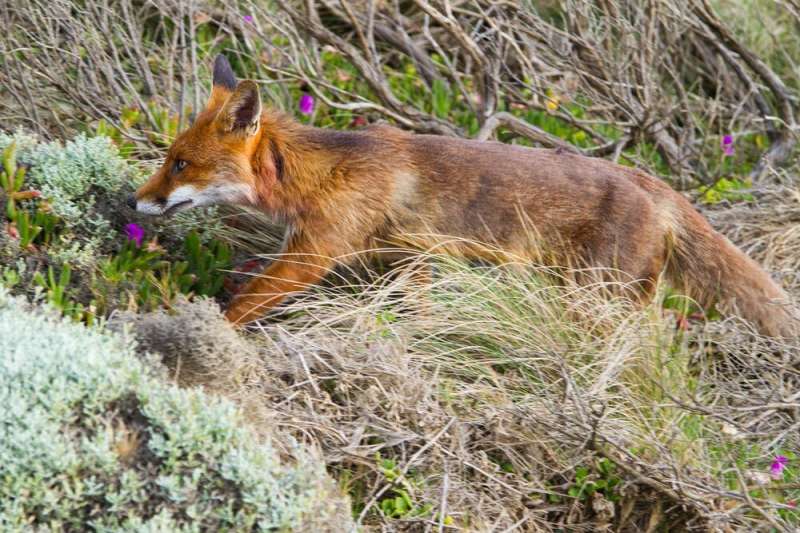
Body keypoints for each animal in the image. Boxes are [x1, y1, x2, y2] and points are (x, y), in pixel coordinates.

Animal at [128, 56, 796, 334]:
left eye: (180, 163)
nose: (135, 202)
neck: (322, 171)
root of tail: (655, 183)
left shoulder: (312, 255)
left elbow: (241, 305)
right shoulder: (412, 259)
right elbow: (420, 311)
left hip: (593, 297)